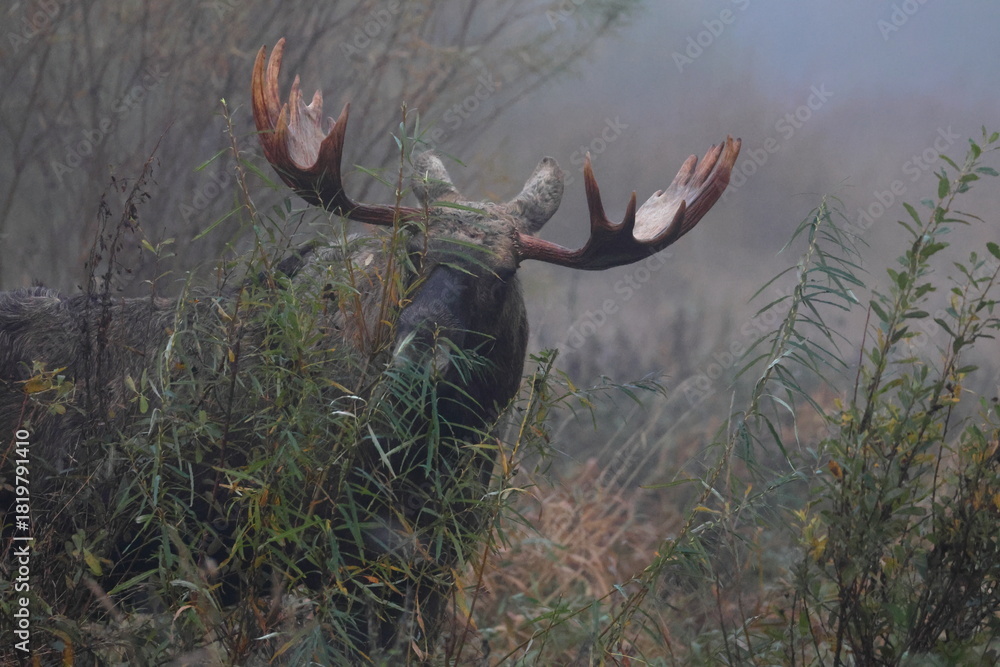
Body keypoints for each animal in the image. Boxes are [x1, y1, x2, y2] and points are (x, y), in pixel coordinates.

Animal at [0, 36, 739, 661]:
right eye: (414, 250)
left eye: (503, 274)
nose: (417, 352)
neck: (441, 453)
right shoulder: (328, 539)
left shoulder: (442, 553)